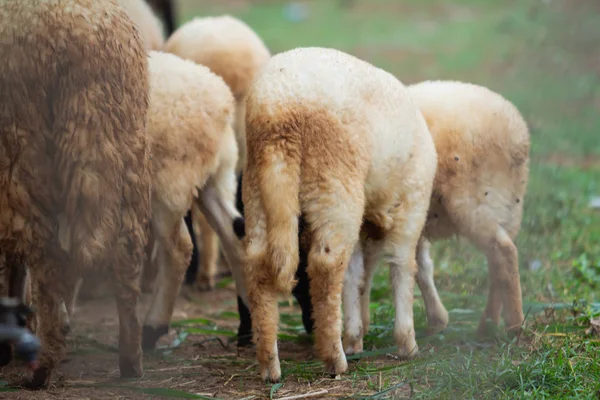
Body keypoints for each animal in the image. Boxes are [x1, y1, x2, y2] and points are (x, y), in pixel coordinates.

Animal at [0, 0, 150, 388]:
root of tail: (85, 36)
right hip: (124, 143)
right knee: (127, 255)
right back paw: (131, 359)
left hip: (21, 148)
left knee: (46, 258)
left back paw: (43, 364)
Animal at [138, 50, 248, 350]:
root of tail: (222, 99)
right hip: (213, 178)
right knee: (234, 235)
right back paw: (249, 328)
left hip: (167, 182)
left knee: (179, 248)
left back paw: (153, 327)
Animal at [241, 46, 438, 382]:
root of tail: (277, 112)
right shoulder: (411, 203)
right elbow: (401, 266)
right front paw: (406, 342)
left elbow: (357, 274)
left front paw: (357, 335)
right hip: (334, 182)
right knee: (327, 265)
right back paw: (334, 358)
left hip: (257, 188)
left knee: (258, 265)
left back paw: (270, 365)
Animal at [340, 79, 532, 354]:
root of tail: (517, 135)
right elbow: (406, 267)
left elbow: (361, 273)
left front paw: (356, 336)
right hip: (506, 206)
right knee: (497, 260)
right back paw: (487, 325)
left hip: (471, 201)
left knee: (504, 252)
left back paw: (514, 325)